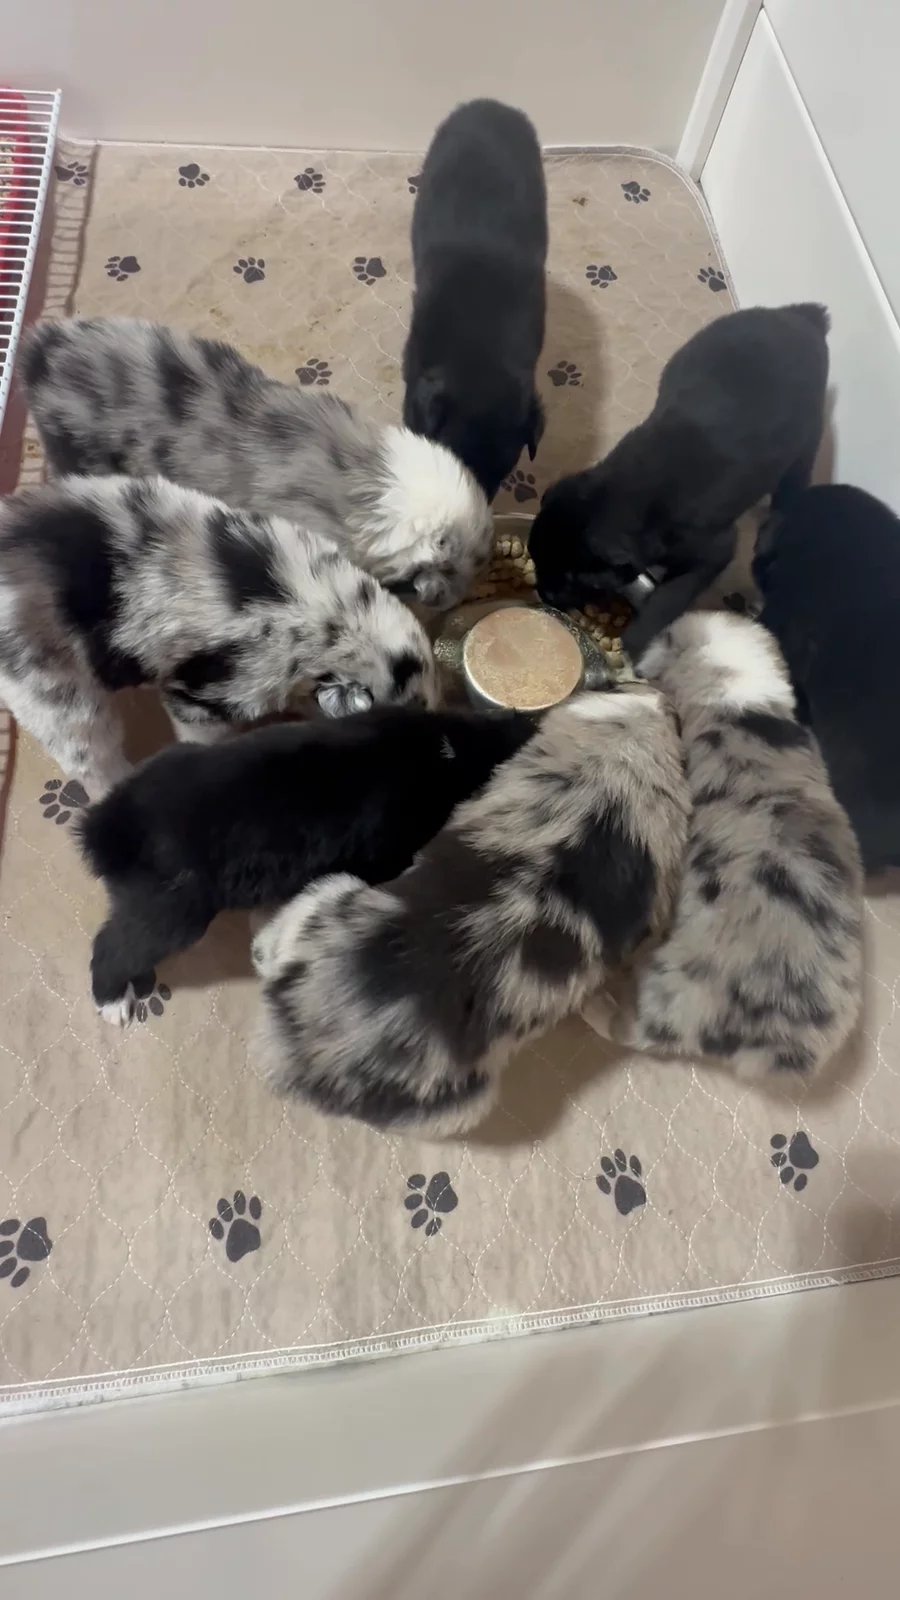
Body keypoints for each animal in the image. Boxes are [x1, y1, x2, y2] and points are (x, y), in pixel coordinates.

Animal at [78, 704, 535, 1025]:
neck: (455, 751)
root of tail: (111, 823)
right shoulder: (384, 856)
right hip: (174, 913)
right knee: (111, 948)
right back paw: (113, 1002)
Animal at [528, 304, 830, 656]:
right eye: (536, 558)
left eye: (574, 578)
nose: (544, 594)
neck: (626, 491)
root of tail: (799, 316)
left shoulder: (714, 550)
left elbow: (668, 599)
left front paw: (637, 640)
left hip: (807, 437)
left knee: (792, 485)